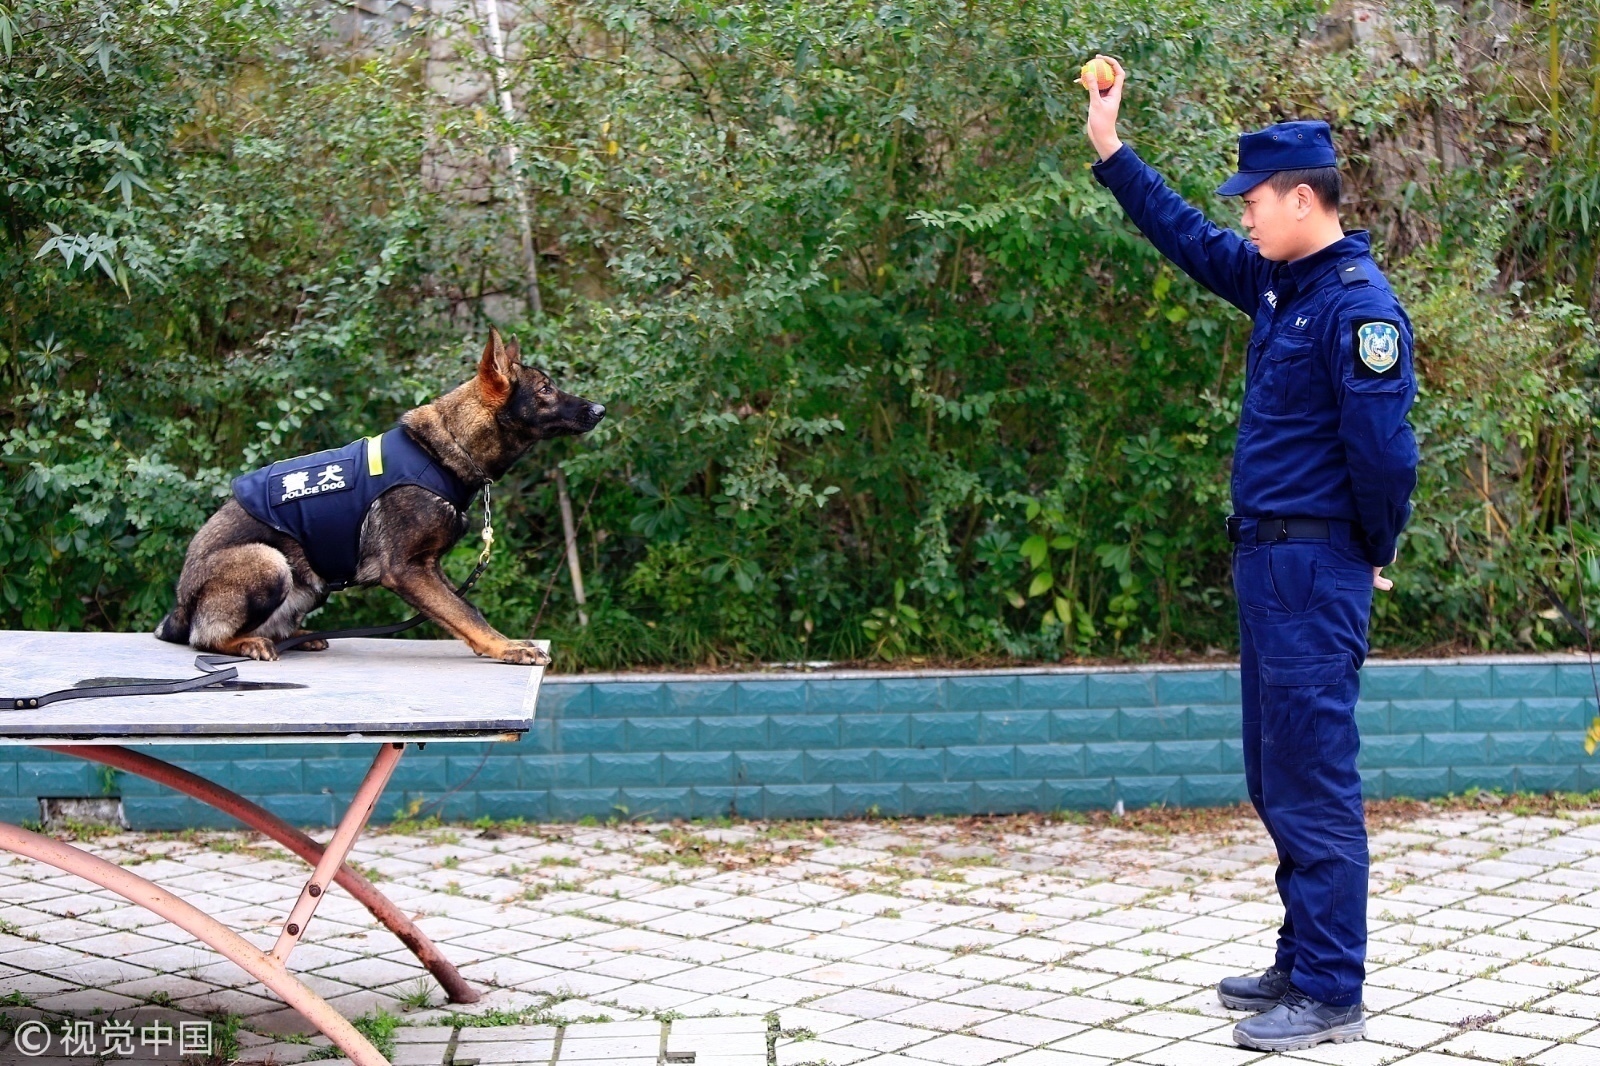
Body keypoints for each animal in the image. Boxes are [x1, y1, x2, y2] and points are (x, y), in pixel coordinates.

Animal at [154, 332, 604, 665]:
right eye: (545, 389)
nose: (600, 409)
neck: (442, 449)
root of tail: (179, 610)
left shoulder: (428, 566)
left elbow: (465, 608)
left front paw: (501, 643)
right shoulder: (407, 570)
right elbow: (463, 612)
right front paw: (505, 648)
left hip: (312, 580)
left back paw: (297, 636)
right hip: (269, 562)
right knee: (203, 639)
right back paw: (247, 643)